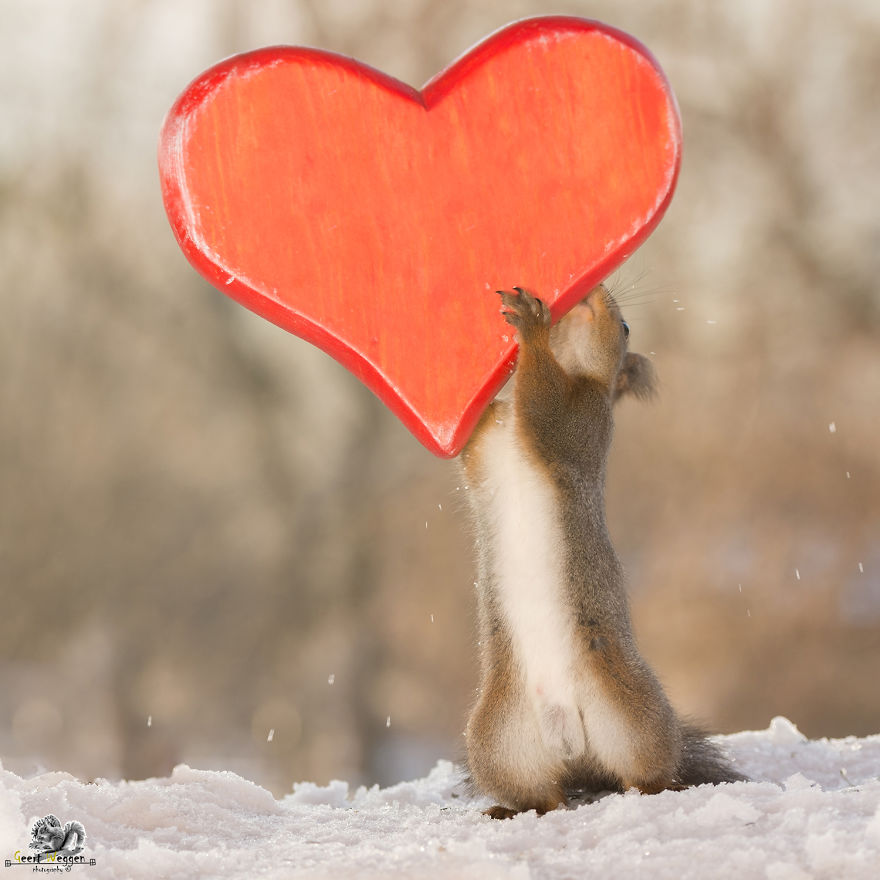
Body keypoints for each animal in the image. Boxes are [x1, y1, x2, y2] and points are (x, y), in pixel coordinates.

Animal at [460, 285, 744, 819]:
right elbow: (472, 444)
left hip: (633, 713)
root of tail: (572, 746)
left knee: (643, 770)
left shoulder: (584, 421)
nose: (596, 292)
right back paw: (509, 809)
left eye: (626, 328)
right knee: (544, 796)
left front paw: (529, 327)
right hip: (498, 743)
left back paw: (660, 785)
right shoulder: (488, 446)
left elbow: (548, 408)